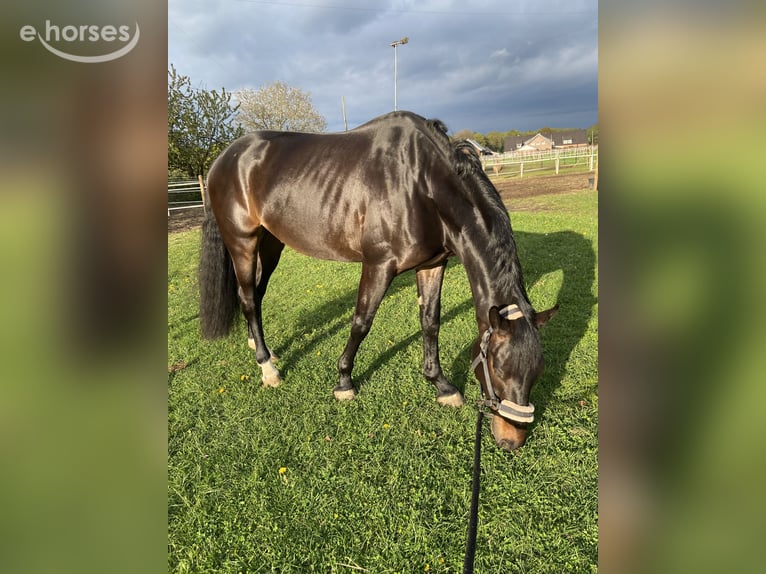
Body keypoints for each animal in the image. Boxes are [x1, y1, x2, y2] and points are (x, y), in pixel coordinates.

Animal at [198, 111, 557, 451]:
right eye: (498, 369)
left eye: (538, 371)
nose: (512, 440)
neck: (421, 185)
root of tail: (224, 158)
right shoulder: (378, 265)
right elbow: (362, 322)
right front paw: (344, 382)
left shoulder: (433, 265)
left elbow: (430, 323)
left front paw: (441, 385)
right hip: (242, 242)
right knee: (247, 298)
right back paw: (267, 369)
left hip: (271, 242)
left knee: (255, 296)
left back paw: (263, 350)